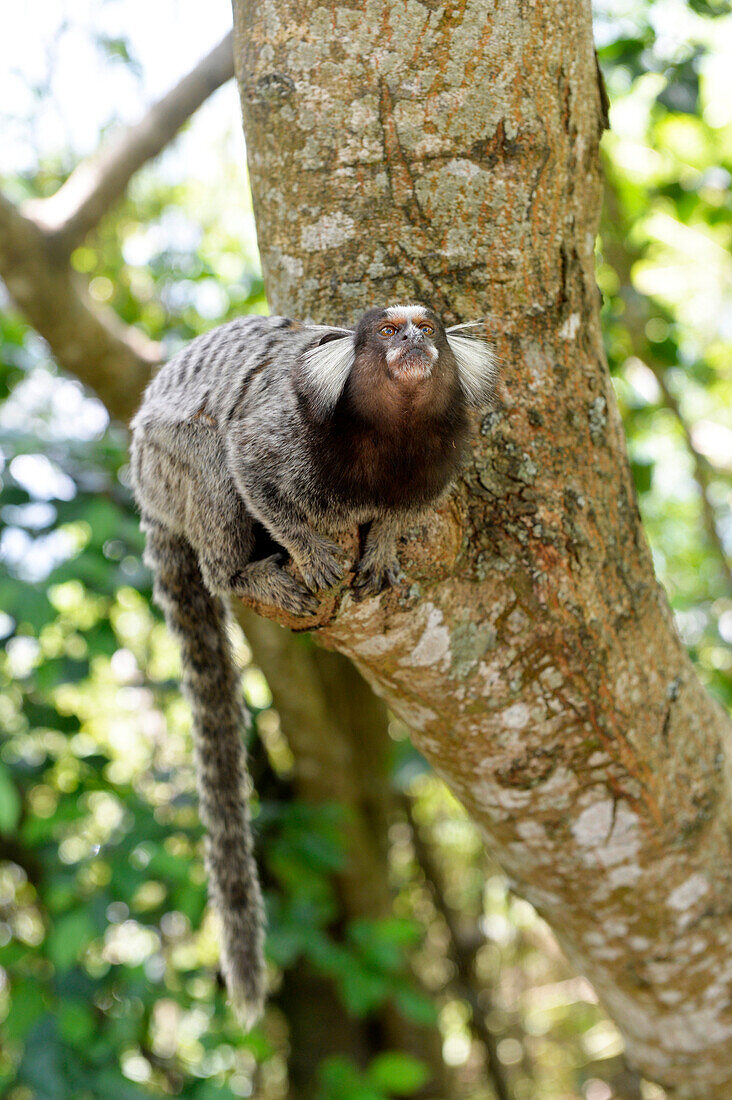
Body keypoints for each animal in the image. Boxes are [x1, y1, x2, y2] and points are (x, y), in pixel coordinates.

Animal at [131, 301, 497, 1020]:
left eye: (426, 329)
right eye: (388, 331)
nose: (413, 343)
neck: (391, 434)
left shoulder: (435, 464)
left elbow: (400, 517)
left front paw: (380, 544)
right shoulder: (280, 435)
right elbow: (248, 462)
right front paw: (308, 548)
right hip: (165, 460)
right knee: (208, 462)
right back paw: (243, 574)